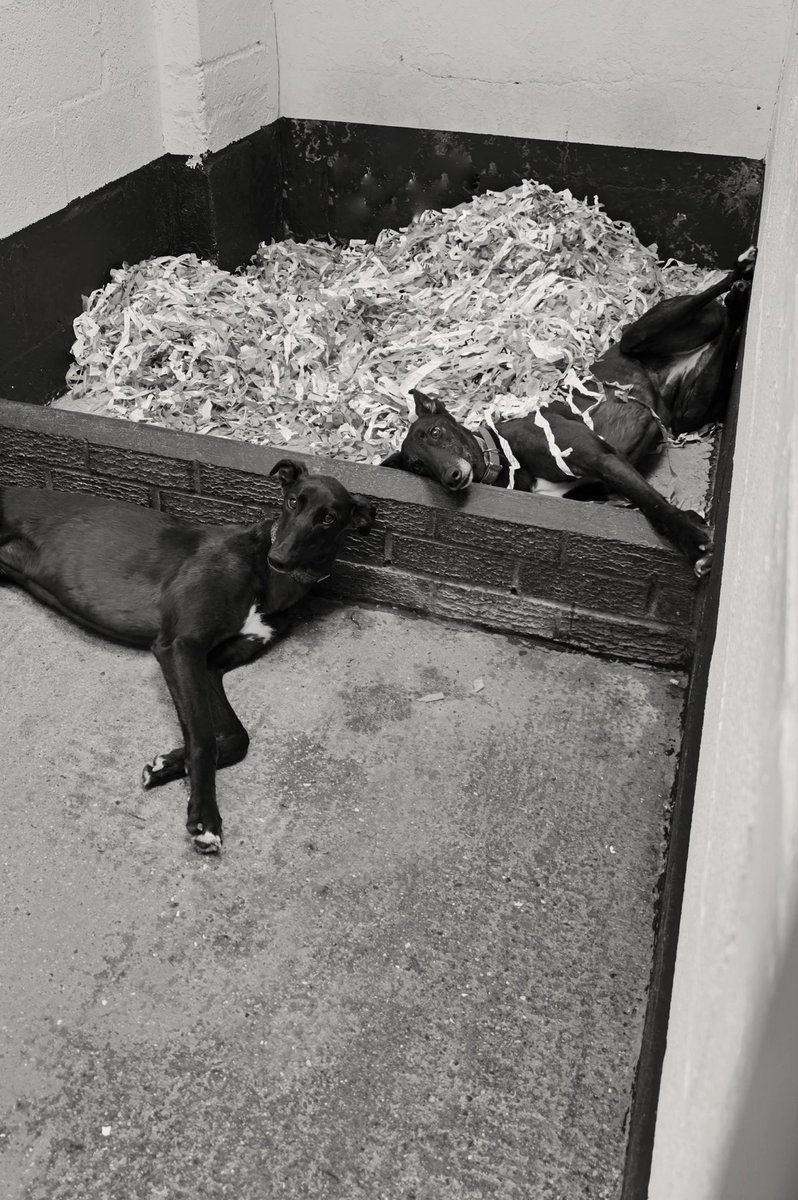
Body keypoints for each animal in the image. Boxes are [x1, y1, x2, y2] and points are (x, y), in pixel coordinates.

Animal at [384, 246, 758, 573]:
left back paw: (741, 275)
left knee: (703, 303)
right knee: (727, 336)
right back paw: (738, 300)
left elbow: (655, 505)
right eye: (417, 466)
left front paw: (694, 542)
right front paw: (693, 528)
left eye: (435, 432)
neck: (502, 456)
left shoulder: (600, 458)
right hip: (689, 410)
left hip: (640, 336)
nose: (451, 477)